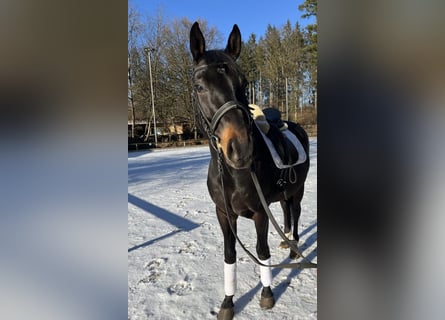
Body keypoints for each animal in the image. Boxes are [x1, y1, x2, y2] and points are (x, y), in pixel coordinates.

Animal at [188, 22, 308, 320]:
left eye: (243, 84)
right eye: (199, 86)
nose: (240, 148)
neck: (232, 175)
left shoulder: (259, 213)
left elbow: (261, 251)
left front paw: (266, 294)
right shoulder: (224, 214)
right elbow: (229, 255)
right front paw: (228, 302)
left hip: (298, 190)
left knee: (296, 213)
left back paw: (294, 247)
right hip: (283, 194)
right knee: (286, 211)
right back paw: (285, 240)